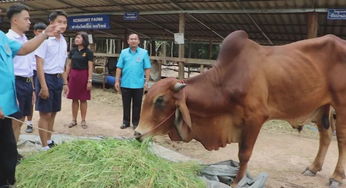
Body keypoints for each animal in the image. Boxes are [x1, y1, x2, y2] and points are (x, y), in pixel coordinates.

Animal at [134, 30, 344, 187]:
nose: (137, 133)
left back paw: (336, 177)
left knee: (340, 140)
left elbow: (244, 154)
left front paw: (237, 181)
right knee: (326, 136)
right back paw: (313, 168)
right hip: (322, 106)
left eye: (160, 100)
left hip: (341, 104)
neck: (226, 80)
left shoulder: (255, 118)